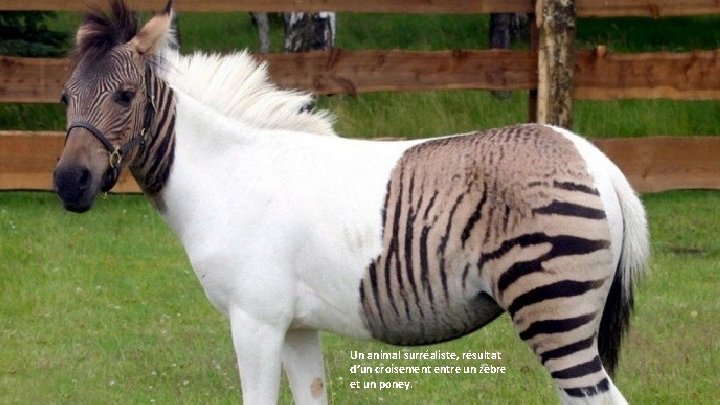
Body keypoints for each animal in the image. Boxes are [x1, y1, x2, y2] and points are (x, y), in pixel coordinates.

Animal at [53, 1, 649, 404]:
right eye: (63, 97)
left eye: (126, 97)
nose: (68, 183)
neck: (229, 176)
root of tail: (591, 156)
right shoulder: (295, 327)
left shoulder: (255, 321)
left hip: (553, 310)